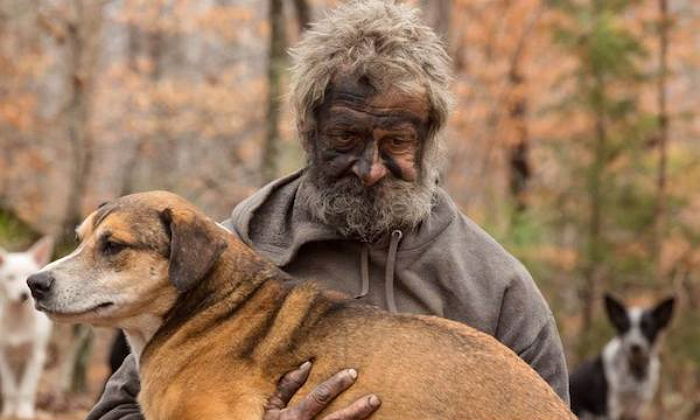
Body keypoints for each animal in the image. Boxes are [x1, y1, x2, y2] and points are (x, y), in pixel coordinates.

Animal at [0, 238, 54, 418]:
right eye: (10, 277)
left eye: (28, 276)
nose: (23, 295)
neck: (18, 320)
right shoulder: (3, 357)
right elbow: (10, 387)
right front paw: (10, 410)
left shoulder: (35, 356)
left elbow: (26, 388)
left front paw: (24, 411)